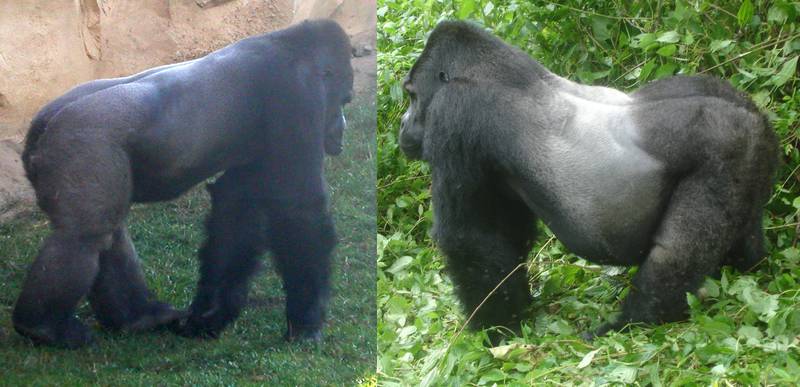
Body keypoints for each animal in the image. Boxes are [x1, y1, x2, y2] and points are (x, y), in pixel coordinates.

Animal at [12, 19, 354, 350]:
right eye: (343, 100)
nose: (341, 129)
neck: (292, 45)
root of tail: (43, 123)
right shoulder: (298, 93)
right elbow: (300, 208)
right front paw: (306, 321)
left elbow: (237, 207)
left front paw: (208, 316)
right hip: (83, 142)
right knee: (84, 236)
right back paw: (44, 327)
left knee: (109, 232)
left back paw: (138, 317)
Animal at [396, 22, 780, 342]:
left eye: (413, 96)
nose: (403, 124)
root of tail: (753, 115)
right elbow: (504, 237)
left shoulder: (454, 114)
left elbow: (471, 238)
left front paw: (497, 331)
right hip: (745, 139)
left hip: (729, 145)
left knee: (675, 255)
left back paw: (632, 321)